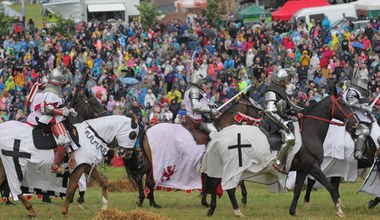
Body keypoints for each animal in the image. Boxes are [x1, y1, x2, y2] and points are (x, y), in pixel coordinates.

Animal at [202, 95, 360, 217]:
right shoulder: (314, 167)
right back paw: (237, 212)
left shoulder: (303, 169)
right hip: (234, 166)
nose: (356, 122)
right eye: (343, 103)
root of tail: (219, 136)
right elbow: (330, 186)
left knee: (216, 183)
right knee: (227, 187)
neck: (309, 133)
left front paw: (292, 212)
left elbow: (297, 190)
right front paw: (339, 210)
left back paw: (212, 209)